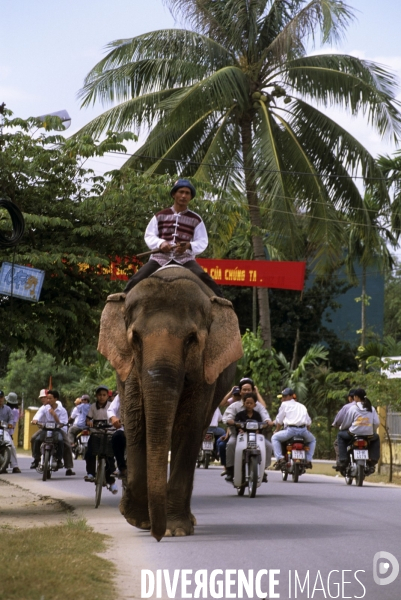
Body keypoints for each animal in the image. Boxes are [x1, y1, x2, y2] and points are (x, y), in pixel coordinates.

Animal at [97, 264, 241, 540]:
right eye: (135, 338)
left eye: (191, 339)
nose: (157, 535)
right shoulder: (129, 368)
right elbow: (136, 420)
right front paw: (138, 519)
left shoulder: (205, 370)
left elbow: (189, 425)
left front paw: (175, 529)